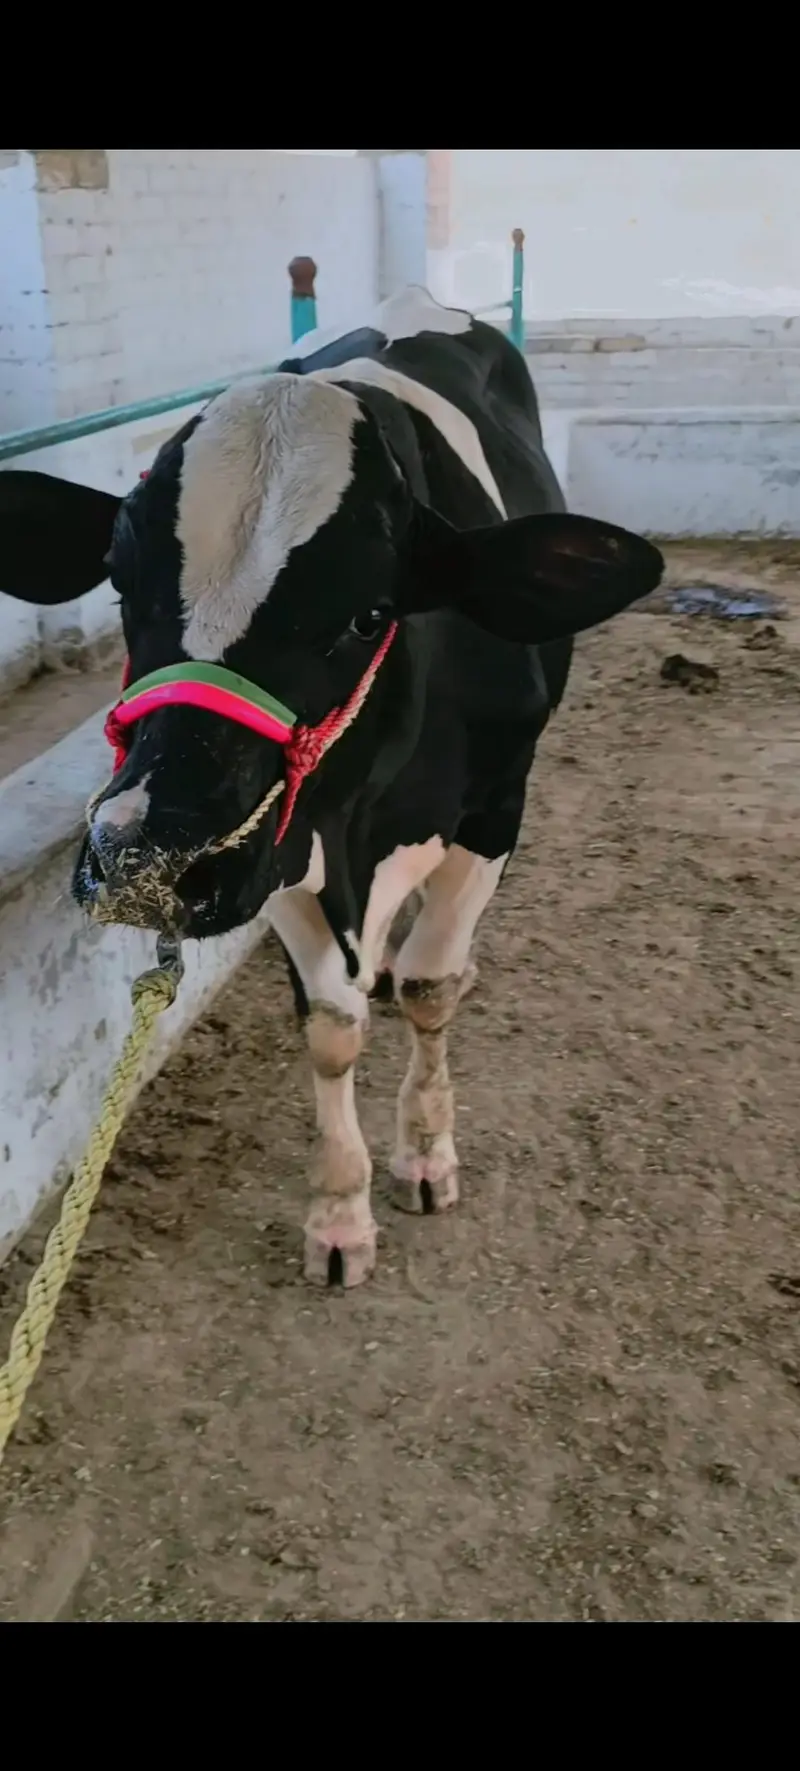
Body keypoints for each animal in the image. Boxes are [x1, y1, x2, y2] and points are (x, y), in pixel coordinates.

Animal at [0, 287, 664, 1288]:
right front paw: (341, 1213)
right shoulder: (276, 847)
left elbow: (433, 986)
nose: (147, 858)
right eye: (119, 584)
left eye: (370, 613)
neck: (365, 819)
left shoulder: (492, 811)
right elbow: (329, 1023)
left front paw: (426, 1151)